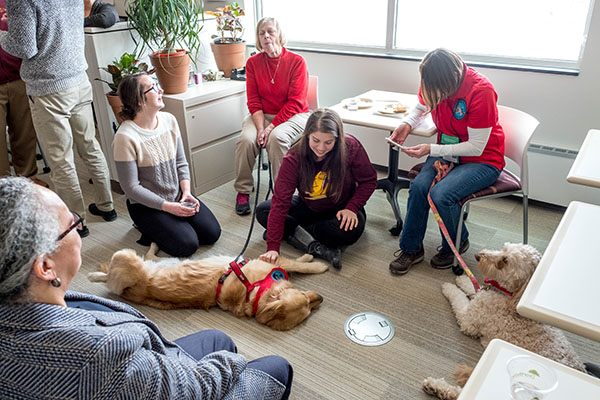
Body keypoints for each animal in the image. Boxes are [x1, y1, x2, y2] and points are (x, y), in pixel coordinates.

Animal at [422, 242, 584, 398]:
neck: (509, 294)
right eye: (504, 249)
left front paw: (449, 287)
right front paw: (464, 280)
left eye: (505, 261)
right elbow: (474, 287)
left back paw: (437, 387)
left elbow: (458, 297)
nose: (478, 255)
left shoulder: (469, 319)